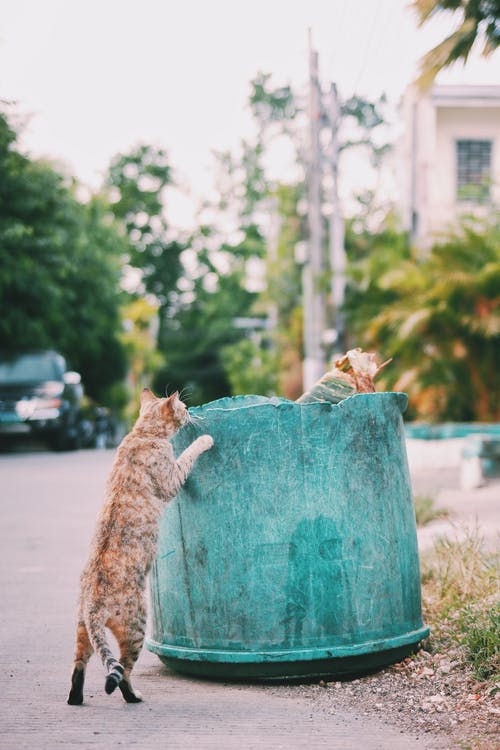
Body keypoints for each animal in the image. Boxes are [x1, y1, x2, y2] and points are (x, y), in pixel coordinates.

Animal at [67, 390, 213, 708]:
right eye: (184, 407)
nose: (190, 411)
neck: (142, 433)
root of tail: (93, 604)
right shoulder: (172, 478)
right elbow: (188, 454)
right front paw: (205, 439)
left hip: (82, 631)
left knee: (79, 666)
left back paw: (76, 698)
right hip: (136, 626)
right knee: (123, 671)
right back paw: (133, 697)